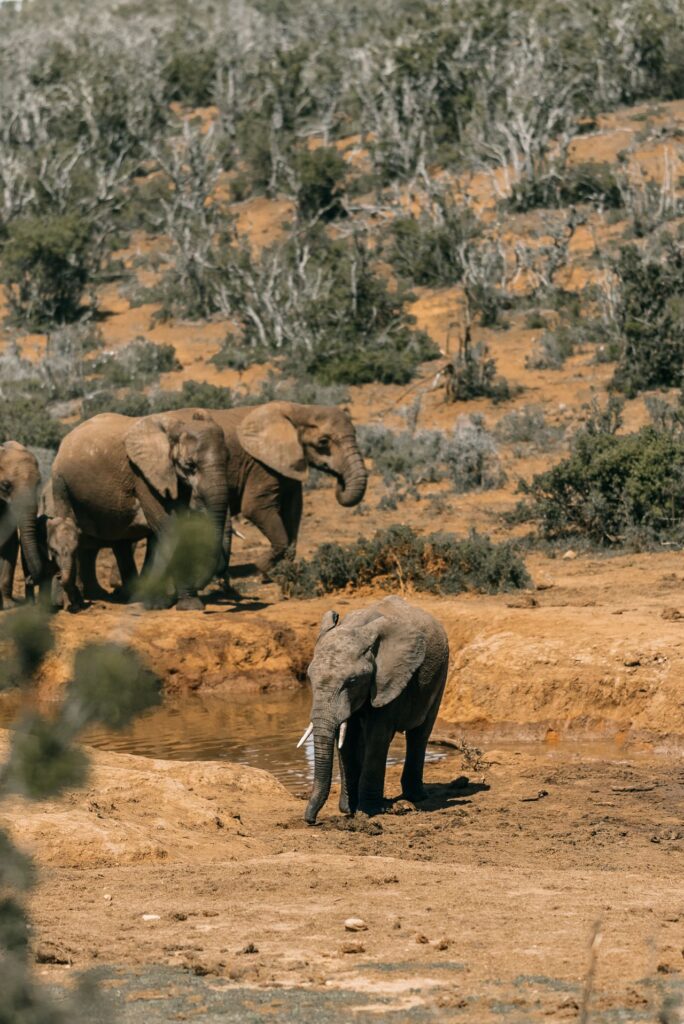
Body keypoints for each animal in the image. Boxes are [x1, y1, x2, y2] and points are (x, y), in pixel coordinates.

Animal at [50, 410, 230, 610]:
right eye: (190, 465)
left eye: (228, 459)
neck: (174, 425)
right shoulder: (143, 476)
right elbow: (170, 527)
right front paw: (189, 606)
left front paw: (158, 602)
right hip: (60, 484)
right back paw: (73, 604)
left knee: (120, 542)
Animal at [183, 402, 368, 582]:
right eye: (323, 441)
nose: (340, 481)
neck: (299, 409)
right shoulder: (260, 463)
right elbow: (255, 508)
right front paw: (262, 570)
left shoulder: (287, 463)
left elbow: (293, 508)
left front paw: (281, 571)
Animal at [299, 596, 449, 825]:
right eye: (309, 677)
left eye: (353, 681)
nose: (312, 821)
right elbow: (347, 739)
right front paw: (348, 809)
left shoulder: (389, 679)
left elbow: (377, 736)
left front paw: (369, 809)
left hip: (441, 674)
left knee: (420, 733)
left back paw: (416, 797)